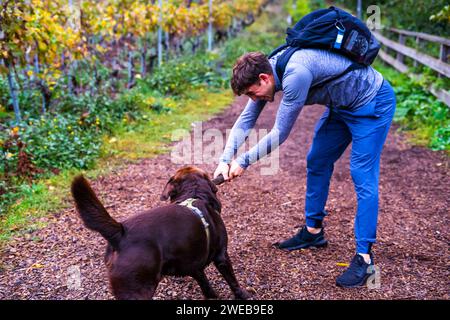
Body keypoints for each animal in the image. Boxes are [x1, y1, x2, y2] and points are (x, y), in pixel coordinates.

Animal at [70, 165, 250, 300]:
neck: (195, 193)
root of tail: (120, 232)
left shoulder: (193, 264)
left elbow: (205, 284)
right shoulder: (221, 256)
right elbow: (233, 281)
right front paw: (243, 295)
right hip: (137, 290)